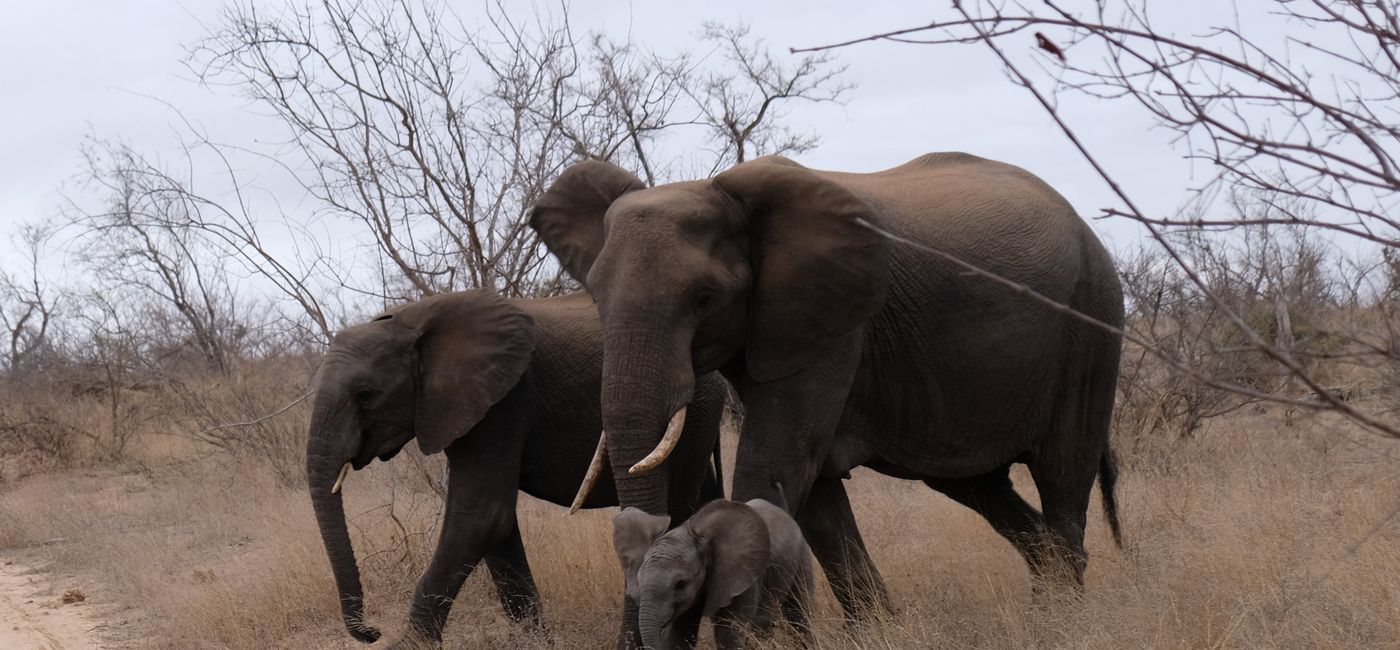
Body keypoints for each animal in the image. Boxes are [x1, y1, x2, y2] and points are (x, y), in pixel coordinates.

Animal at [304, 289, 729, 646]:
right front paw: (535, 641)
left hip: (691, 415)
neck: (411, 320)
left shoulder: (504, 403)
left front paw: (409, 646)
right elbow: (497, 522)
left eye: (365, 395)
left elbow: (481, 517)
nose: (372, 631)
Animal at [618, 499, 813, 650]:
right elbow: (680, 636)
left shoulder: (742, 579)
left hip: (802, 554)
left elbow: (728, 635)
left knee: (799, 614)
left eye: (680, 584)